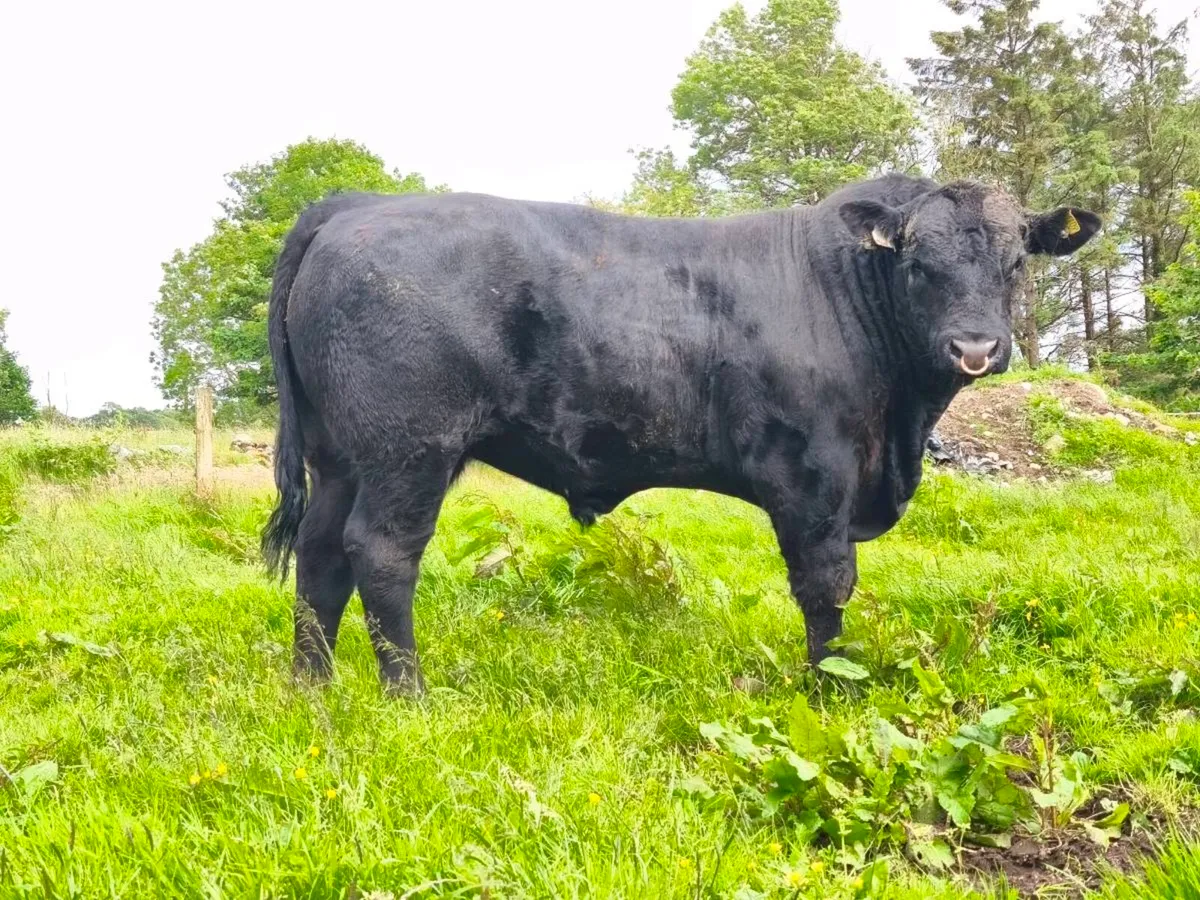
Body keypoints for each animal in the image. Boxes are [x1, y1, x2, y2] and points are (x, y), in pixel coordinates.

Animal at [261, 174, 1100, 694]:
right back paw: (409, 694)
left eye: (1016, 260)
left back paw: (313, 686)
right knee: (381, 553)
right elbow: (826, 585)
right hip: (409, 450)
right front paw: (831, 686)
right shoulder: (813, 475)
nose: (976, 347)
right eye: (919, 263)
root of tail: (353, 205)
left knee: (321, 556)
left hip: (339, 457)